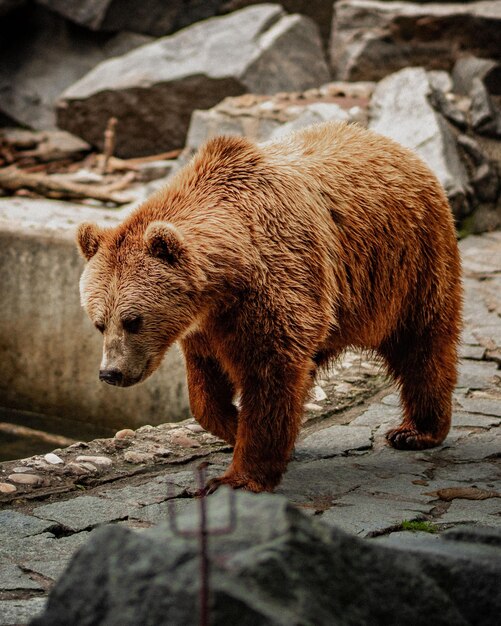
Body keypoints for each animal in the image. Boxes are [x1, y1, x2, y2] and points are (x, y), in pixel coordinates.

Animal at [77, 120, 460, 492]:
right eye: (99, 322)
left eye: (133, 320)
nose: (111, 373)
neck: (226, 281)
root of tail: (398, 147)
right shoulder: (209, 324)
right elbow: (205, 389)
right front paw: (234, 426)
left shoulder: (274, 286)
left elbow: (270, 375)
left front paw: (239, 475)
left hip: (408, 263)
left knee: (422, 343)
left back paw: (417, 430)